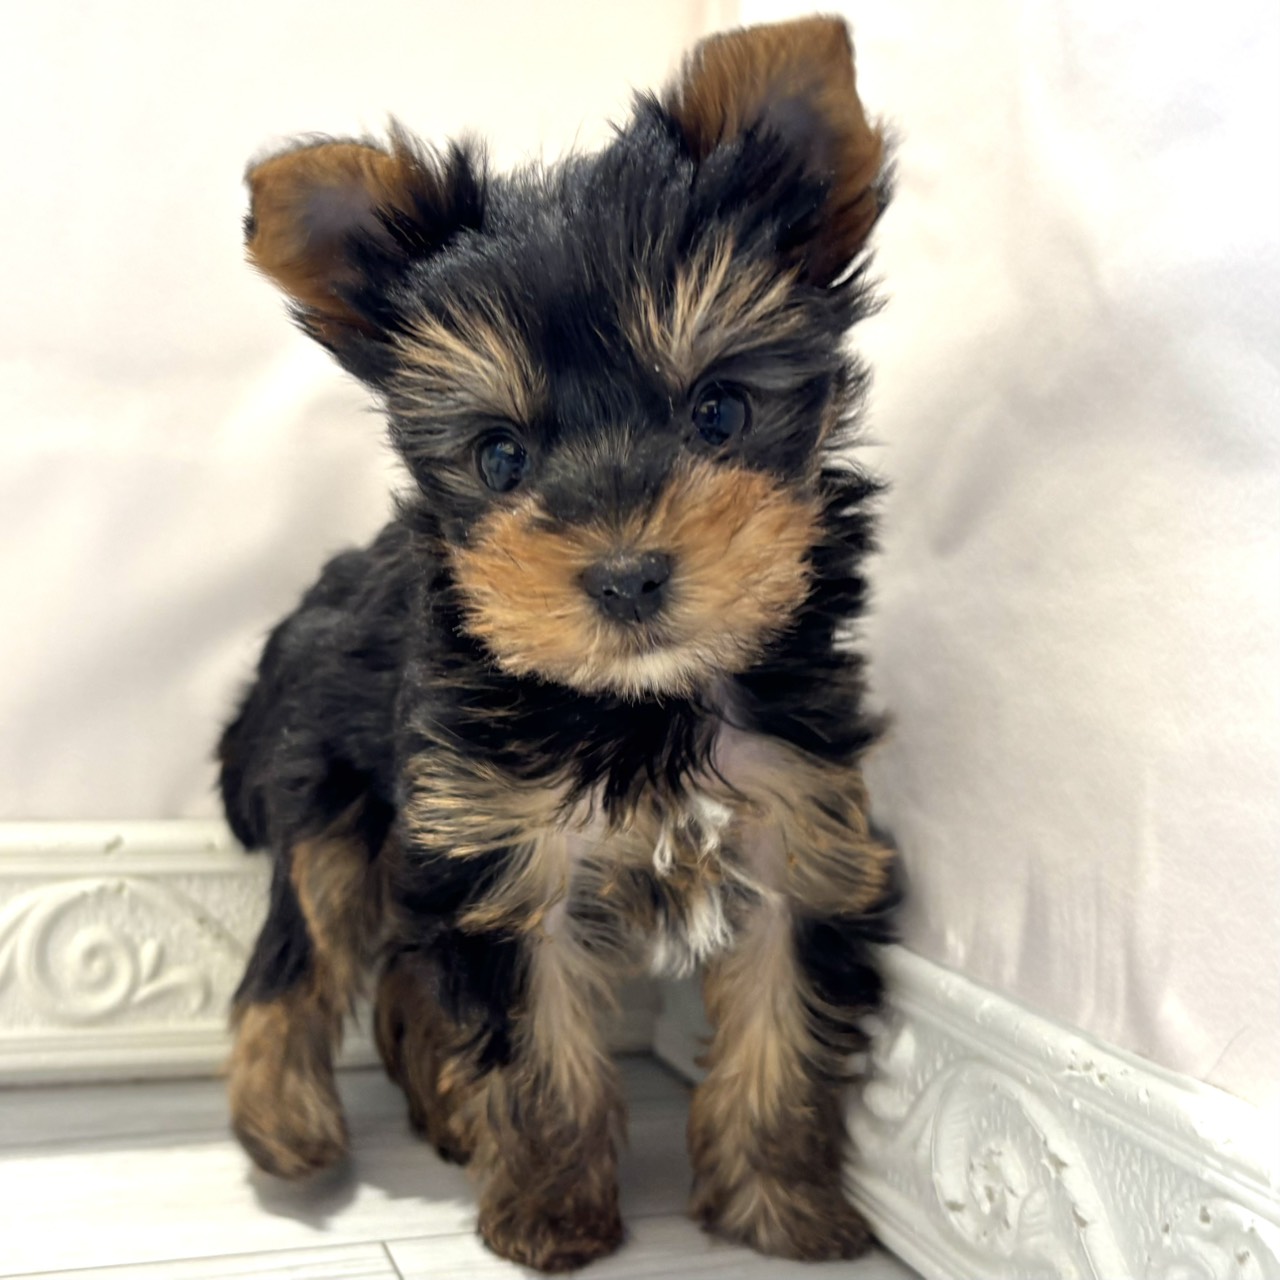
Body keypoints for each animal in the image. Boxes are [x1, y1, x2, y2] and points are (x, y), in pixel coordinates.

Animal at [218, 14, 897, 1272]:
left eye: (719, 410)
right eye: (499, 456)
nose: (625, 573)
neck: (637, 701)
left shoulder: (797, 815)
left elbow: (782, 1008)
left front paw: (779, 1203)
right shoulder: (503, 844)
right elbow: (532, 1042)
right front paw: (549, 1209)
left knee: (402, 974)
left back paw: (439, 1113)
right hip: (334, 797)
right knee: (303, 949)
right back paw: (285, 1125)